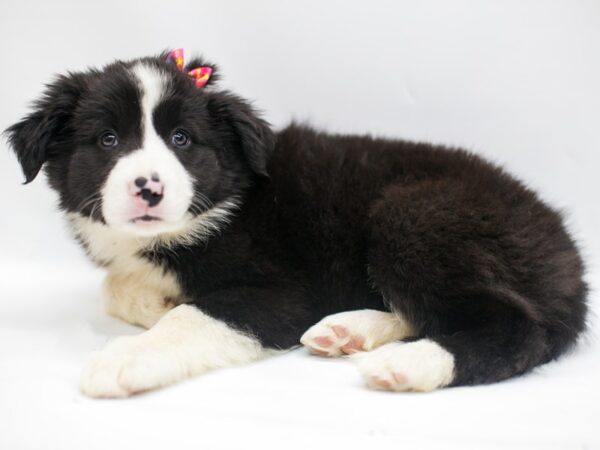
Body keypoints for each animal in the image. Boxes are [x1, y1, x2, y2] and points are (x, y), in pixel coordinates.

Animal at [4, 51, 584, 400]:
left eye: (182, 140)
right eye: (107, 139)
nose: (149, 187)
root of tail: (567, 255)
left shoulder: (280, 291)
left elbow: (193, 316)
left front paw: (127, 356)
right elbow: (116, 287)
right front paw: (153, 297)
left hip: (416, 215)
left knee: (517, 326)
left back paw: (412, 363)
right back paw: (352, 330)